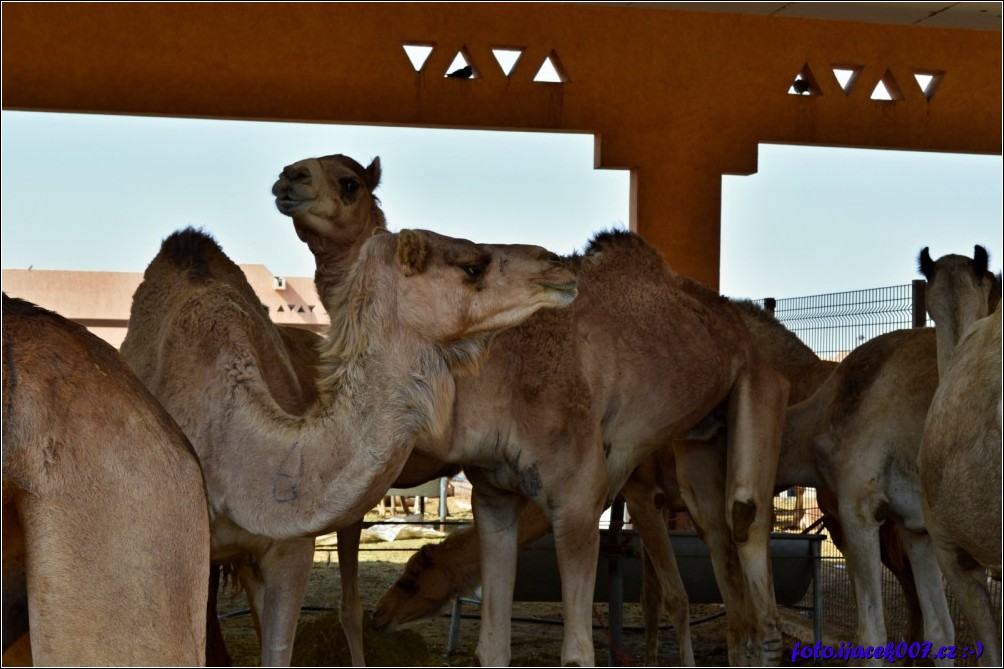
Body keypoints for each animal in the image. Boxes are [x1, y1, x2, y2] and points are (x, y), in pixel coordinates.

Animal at [275, 152, 791, 666]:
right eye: (474, 266)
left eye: (349, 183)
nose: (288, 177)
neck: (495, 379)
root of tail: (735, 323)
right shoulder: (493, 498)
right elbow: (491, 646)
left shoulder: (578, 503)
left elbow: (578, 653)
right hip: (700, 436)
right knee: (718, 538)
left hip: (758, 385)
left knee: (746, 519)